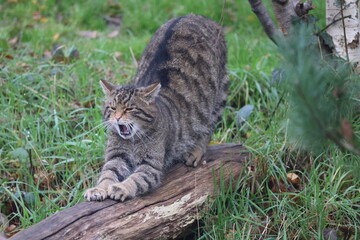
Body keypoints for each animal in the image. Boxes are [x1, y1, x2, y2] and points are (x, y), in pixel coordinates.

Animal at [84, 13, 228, 201]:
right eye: (113, 108)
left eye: (130, 109)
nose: (117, 118)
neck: (133, 141)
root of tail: (198, 16)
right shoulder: (116, 156)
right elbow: (107, 174)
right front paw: (99, 188)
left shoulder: (150, 165)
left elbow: (136, 179)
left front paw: (121, 187)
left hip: (217, 98)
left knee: (208, 128)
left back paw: (195, 151)